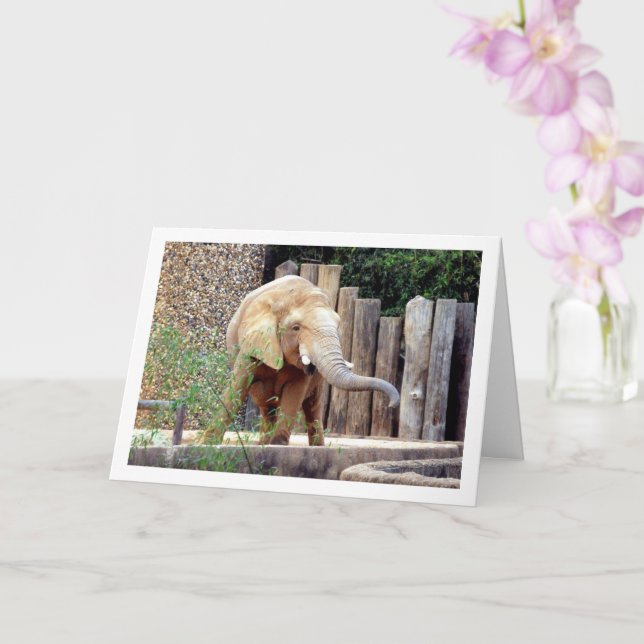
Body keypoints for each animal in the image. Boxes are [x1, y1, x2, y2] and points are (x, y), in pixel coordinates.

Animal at [201, 275, 400, 446]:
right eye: (295, 328)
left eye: (337, 326)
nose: (392, 404)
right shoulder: (252, 343)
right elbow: (237, 386)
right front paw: (207, 443)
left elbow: (294, 393)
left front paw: (277, 446)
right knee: (266, 405)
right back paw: (262, 443)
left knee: (313, 407)